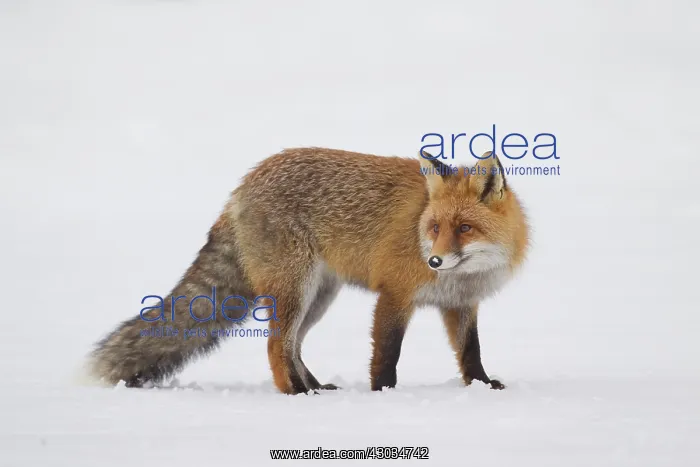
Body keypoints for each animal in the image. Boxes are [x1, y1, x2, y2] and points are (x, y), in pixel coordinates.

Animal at [88, 147, 529, 394]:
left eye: (464, 228)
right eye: (435, 228)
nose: (434, 261)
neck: (461, 275)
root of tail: (240, 188)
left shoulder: (461, 304)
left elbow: (470, 352)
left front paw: (482, 387)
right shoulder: (394, 295)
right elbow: (387, 355)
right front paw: (384, 394)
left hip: (319, 295)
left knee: (294, 346)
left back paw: (314, 388)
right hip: (295, 290)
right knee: (275, 346)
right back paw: (295, 395)